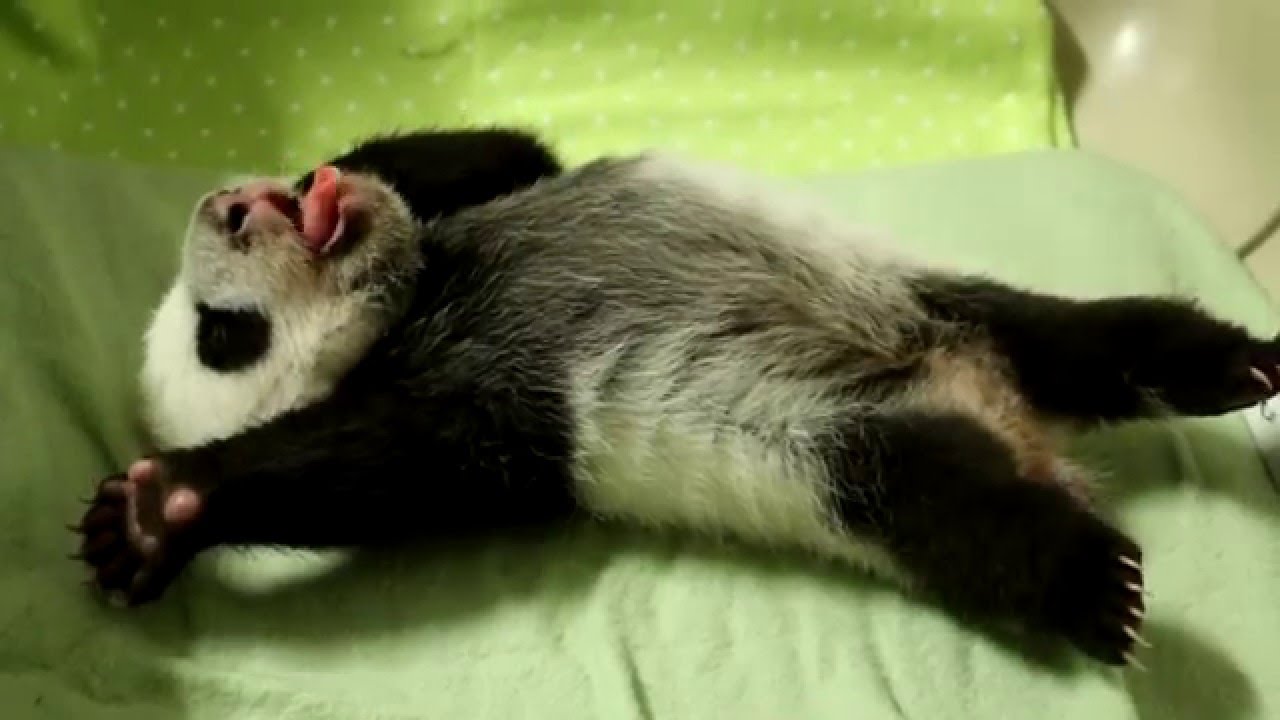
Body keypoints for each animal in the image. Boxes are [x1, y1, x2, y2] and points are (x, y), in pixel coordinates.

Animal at [73, 126, 1280, 667]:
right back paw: (1093, 583)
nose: (232, 207)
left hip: (947, 300)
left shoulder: (482, 211)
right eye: (222, 337)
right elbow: (387, 463)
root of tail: (993, 405)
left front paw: (342, 167)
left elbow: (499, 147)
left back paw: (1235, 365)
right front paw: (155, 514)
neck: (422, 297)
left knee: (1103, 336)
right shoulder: (515, 411)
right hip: (841, 453)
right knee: (962, 513)